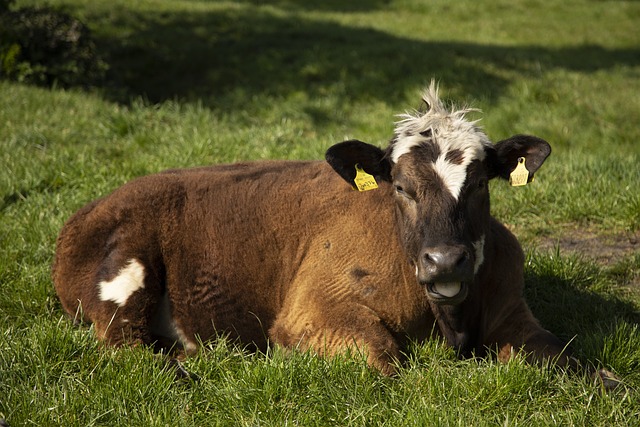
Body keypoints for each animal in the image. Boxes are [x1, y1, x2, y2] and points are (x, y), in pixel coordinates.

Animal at [53, 83, 580, 378]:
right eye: (401, 187)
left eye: (479, 184)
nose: (445, 260)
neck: (451, 324)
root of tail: (90, 209)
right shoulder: (313, 309)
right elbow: (386, 360)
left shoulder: (513, 308)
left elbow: (562, 356)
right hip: (125, 271)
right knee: (128, 346)